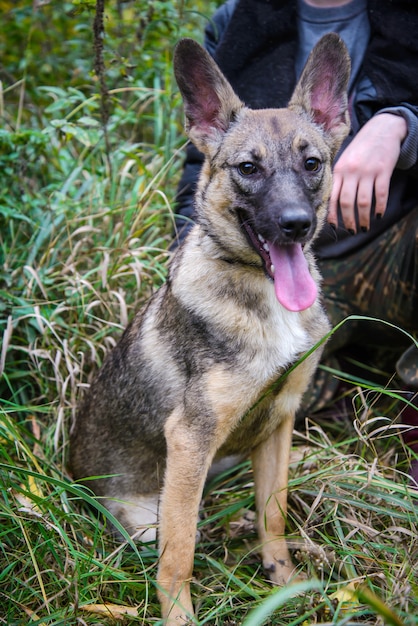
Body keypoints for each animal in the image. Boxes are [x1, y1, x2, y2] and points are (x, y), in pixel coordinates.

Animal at [70, 35, 352, 624]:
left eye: (312, 163)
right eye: (247, 168)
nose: (296, 225)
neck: (266, 298)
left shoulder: (279, 421)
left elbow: (274, 515)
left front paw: (283, 582)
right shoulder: (190, 437)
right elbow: (180, 550)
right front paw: (179, 615)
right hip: (149, 511)